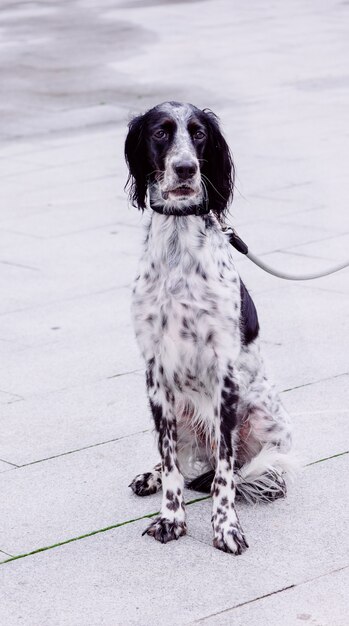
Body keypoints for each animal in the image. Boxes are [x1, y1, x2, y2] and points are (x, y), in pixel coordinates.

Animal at [123, 103, 292, 556]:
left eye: (198, 134)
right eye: (160, 133)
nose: (185, 168)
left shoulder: (225, 376)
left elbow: (225, 473)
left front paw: (226, 527)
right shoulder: (155, 373)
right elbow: (170, 462)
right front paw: (171, 519)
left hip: (263, 412)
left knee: (254, 466)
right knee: (179, 459)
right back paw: (151, 475)